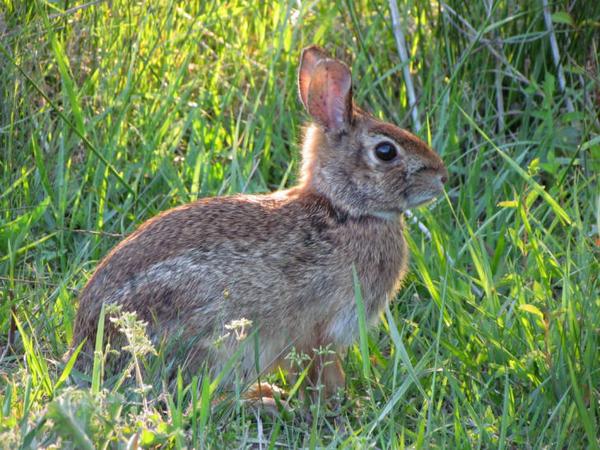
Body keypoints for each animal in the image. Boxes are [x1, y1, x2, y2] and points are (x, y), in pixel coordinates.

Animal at [69, 44, 446, 398]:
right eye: (386, 152)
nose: (442, 177)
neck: (344, 210)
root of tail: (86, 351)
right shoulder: (324, 328)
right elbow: (323, 368)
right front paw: (336, 399)